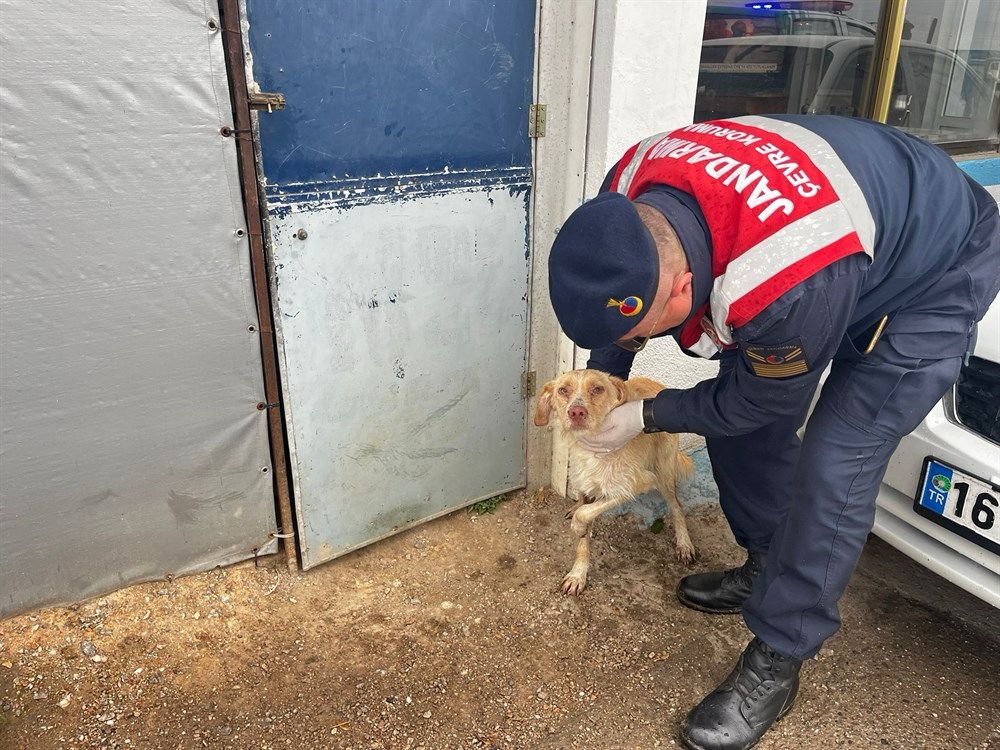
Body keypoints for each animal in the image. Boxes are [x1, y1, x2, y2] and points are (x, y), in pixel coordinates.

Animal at [532, 368, 696, 592]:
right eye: (563, 390)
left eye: (597, 389)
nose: (576, 412)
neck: (592, 449)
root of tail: (659, 385)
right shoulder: (585, 484)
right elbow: (583, 530)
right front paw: (578, 574)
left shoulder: (635, 484)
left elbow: (585, 514)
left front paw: (578, 527)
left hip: (663, 473)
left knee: (677, 506)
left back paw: (684, 544)